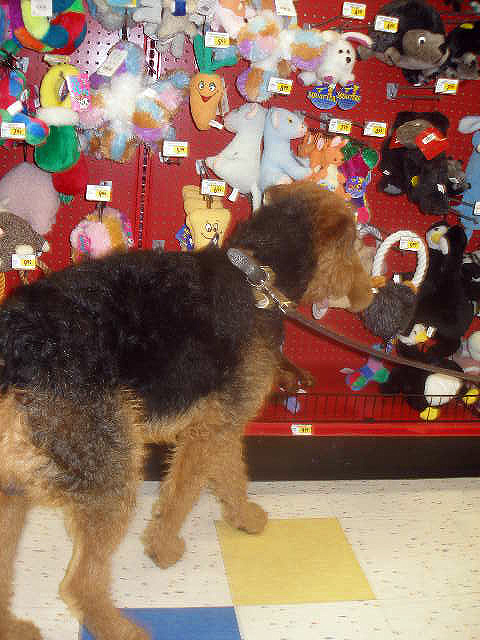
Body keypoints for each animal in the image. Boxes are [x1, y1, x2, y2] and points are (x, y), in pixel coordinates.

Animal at [0, 182, 372, 636]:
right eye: (353, 247)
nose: (370, 294)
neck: (260, 273)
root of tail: (16, 346)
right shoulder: (212, 427)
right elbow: (183, 495)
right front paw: (163, 548)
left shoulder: (222, 423)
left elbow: (231, 477)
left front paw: (243, 518)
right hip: (111, 472)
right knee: (81, 584)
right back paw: (124, 630)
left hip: (14, 486)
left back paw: (15, 627)